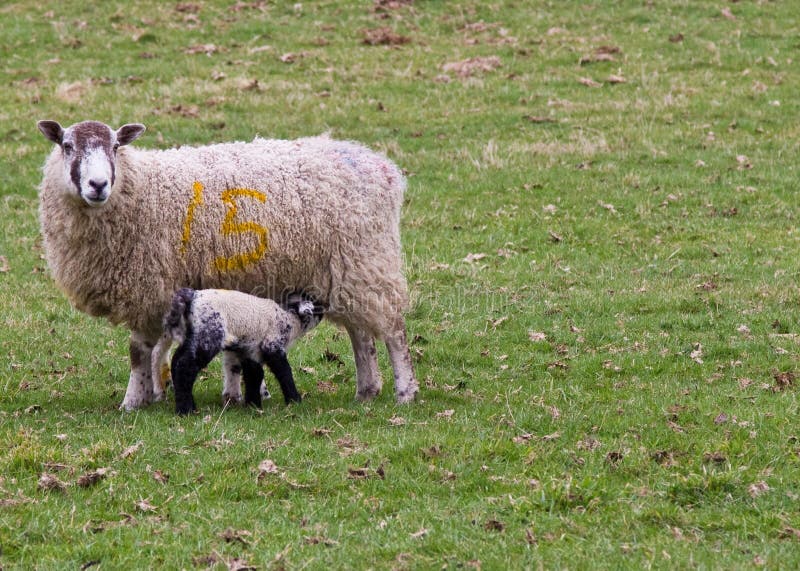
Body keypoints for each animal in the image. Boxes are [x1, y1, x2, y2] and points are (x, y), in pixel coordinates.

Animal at [152, 288, 323, 415]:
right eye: (315, 305)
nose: (323, 311)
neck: (290, 319)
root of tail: (191, 297)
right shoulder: (272, 345)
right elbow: (284, 372)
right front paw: (295, 400)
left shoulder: (250, 350)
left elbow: (254, 374)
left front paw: (253, 405)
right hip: (209, 334)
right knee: (184, 366)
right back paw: (185, 410)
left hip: (193, 335)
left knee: (177, 361)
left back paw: (189, 405)